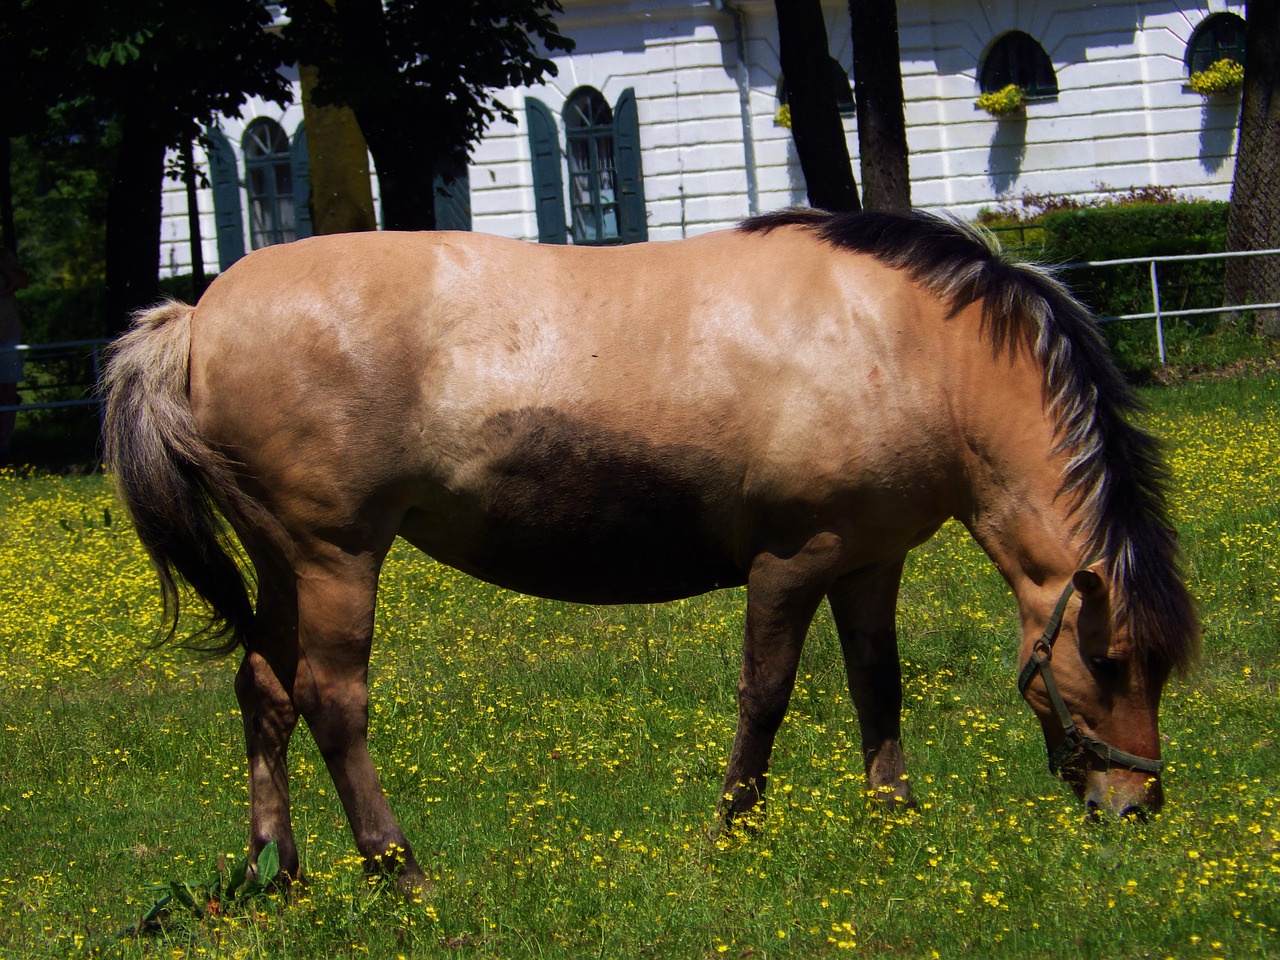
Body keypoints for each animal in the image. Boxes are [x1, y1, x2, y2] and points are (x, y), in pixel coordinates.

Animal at [102, 208, 1198, 885]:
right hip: (334, 558)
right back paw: (397, 870)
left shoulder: (867, 562)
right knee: (332, 701)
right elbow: (766, 695)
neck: (906, 345)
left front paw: (894, 821)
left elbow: (875, 689)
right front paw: (731, 834)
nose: (1135, 807)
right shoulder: (794, 558)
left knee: (264, 690)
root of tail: (195, 316)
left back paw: (278, 873)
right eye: (1105, 661)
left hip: (283, 564)